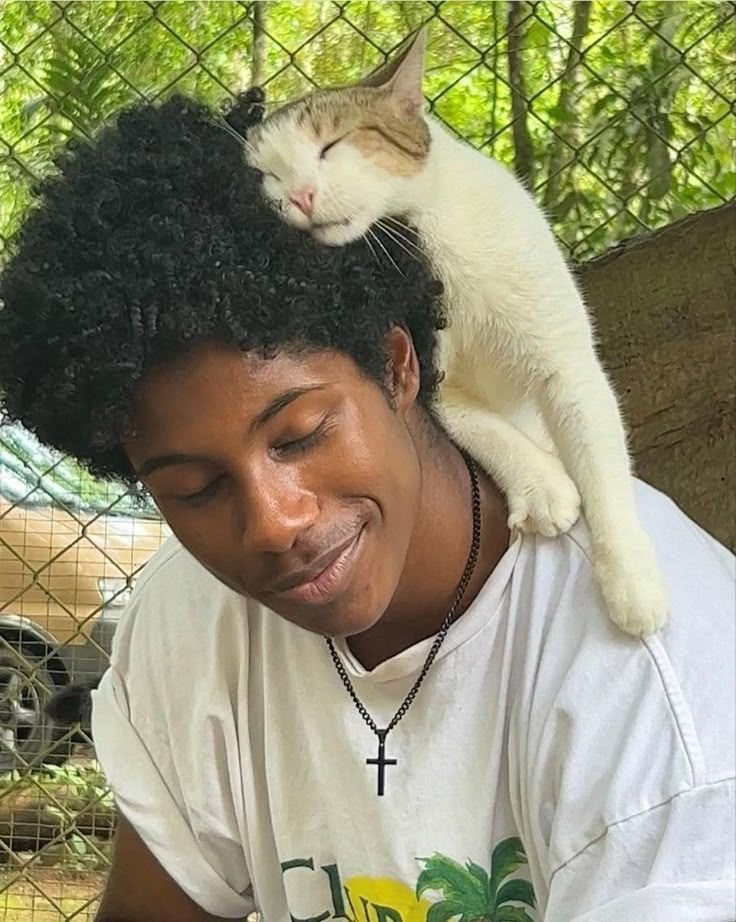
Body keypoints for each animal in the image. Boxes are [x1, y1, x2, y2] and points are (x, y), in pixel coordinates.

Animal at [244, 28, 668, 632]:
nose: (299, 196)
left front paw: (630, 578)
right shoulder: (435, 376)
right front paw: (540, 483)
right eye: (267, 178)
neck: (432, 232)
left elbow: (599, 460)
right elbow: (479, 425)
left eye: (331, 146)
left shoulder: (566, 364)